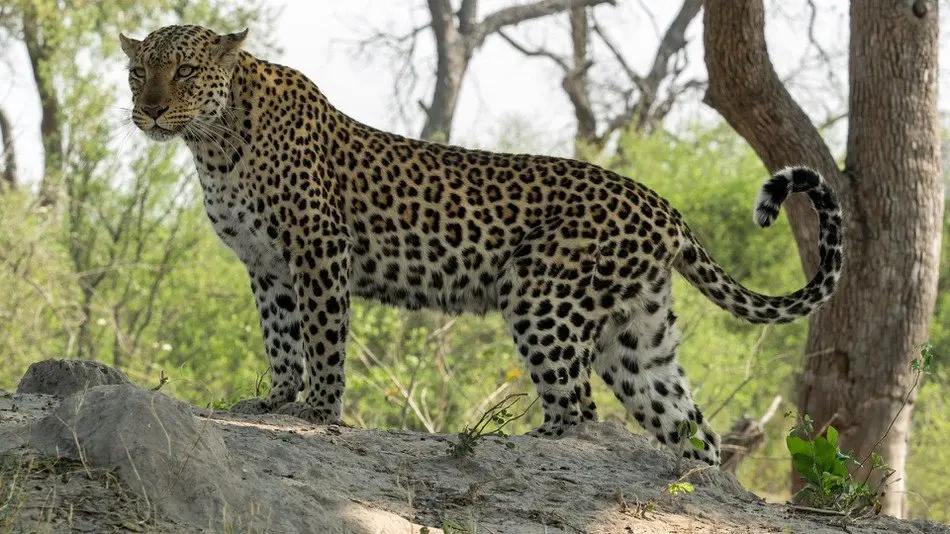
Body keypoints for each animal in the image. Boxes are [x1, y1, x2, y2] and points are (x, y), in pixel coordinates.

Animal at [119, 24, 843, 467]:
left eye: (183, 71)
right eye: (136, 73)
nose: (147, 110)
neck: (214, 143)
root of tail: (664, 207)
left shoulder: (319, 250)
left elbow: (322, 338)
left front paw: (319, 410)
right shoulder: (267, 266)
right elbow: (280, 338)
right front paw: (275, 401)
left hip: (542, 298)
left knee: (578, 408)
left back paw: (523, 442)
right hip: (637, 333)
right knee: (691, 428)